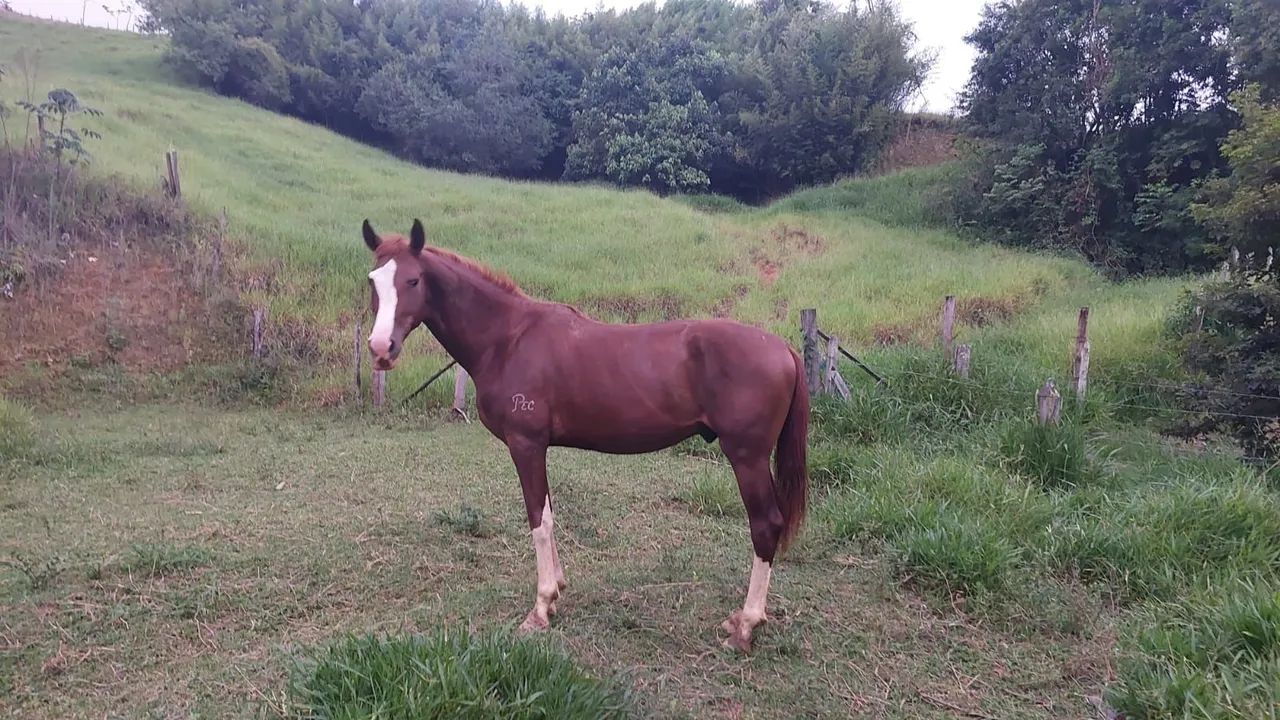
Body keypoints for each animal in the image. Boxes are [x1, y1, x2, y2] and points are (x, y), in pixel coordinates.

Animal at [360, 218, 809, 652]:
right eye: (372, 280)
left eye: (413, 280)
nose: (381, 348)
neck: (508, 338)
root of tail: (784, 349)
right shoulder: (538, 448)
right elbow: (549, 514)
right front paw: (557, 589)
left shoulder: (526, 445)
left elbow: (538, 521)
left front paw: (540, 608)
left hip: (746, 457)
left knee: (765, 525)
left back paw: (746, 625)